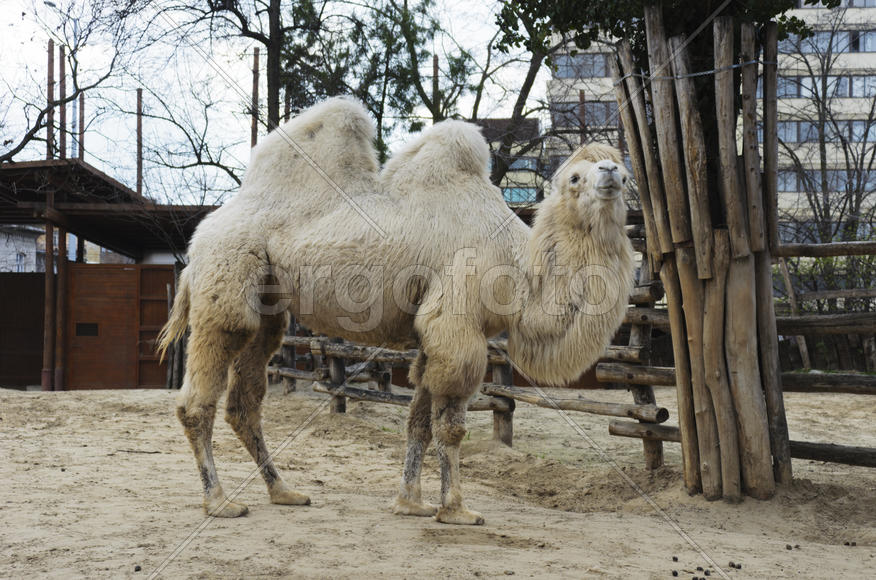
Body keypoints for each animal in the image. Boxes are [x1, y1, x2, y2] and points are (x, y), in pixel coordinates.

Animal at [157, 97, 634, 525]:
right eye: (574, 177)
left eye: (623, 172)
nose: (611, 174)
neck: (519, 264)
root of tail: (200, 237)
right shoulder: (456, 324)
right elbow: (451, 426)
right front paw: (456, 510)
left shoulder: (431, 335)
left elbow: (419, 421)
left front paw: (411, 503)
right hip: (227, 275)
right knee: (200, 393)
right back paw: (220, 502)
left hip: (269, 305)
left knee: (245, 400)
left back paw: (284, 491)